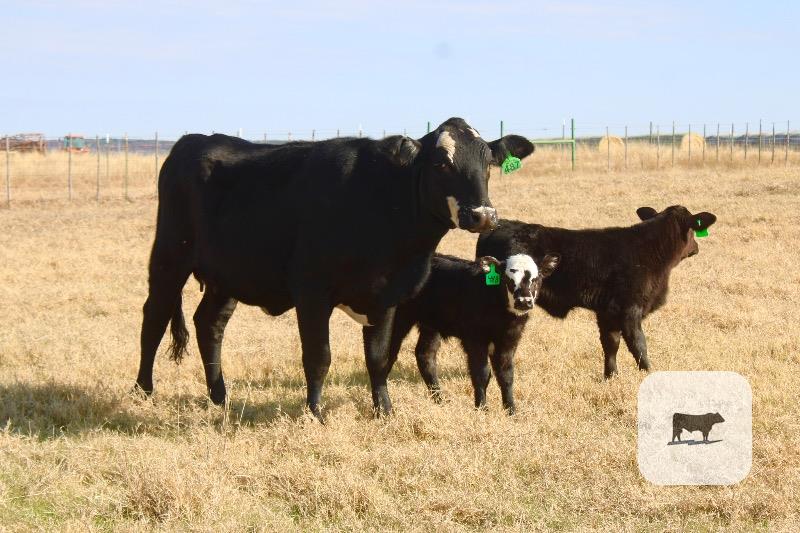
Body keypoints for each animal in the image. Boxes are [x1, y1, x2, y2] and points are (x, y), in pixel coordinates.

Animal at [134, 118, 535, 419]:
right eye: (442, 163)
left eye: (488, 163)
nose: (483, 215)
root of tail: (194, 139)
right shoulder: (312, 292)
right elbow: (318, 357)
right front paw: (315, 413)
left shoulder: (387, 297)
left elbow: (378, 357)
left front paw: (384, 410)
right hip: (169, 257)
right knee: (154, 317)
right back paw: (142, 390)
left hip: (228, 276)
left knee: (209, 324)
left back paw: (219, 397)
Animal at [387, 253, 559, 414]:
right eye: (507, 279)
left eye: (536, 279)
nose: (523, 301)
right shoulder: (475, 339)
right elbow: (481, 373)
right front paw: (482, 409)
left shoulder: (509, 341)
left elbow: (506, 375)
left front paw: (511, 411)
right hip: (399, 321)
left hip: (431, 325)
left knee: (425, 355)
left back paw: (440, 399)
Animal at [476, 206, 717, 378]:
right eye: (694, 230)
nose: (696, 248)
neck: (650, 250)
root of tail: (498, 226)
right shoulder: (629, 308)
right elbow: (638, 344)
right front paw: (648, 373)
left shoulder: (608, 312)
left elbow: (611, 344)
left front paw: (611, 376)